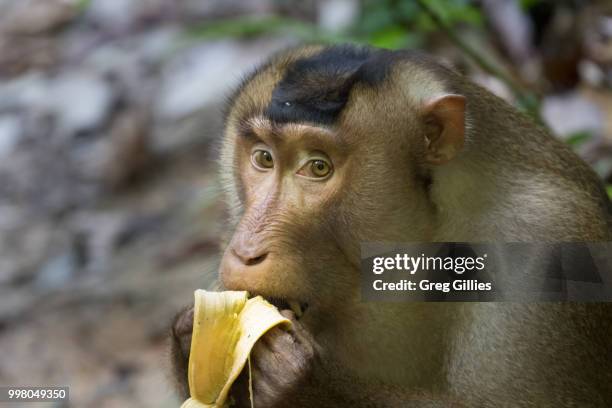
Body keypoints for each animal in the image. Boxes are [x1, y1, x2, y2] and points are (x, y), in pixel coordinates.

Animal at [170, 43, 612, 404]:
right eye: (263, 158)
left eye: (318, 167)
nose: (247, 252)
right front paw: (187, 339)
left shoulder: (545, 249)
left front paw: (302, 383)